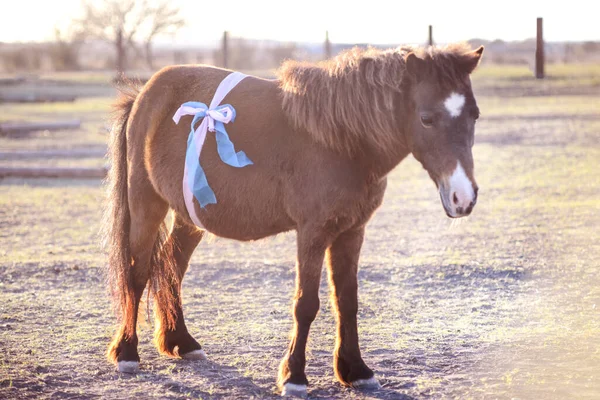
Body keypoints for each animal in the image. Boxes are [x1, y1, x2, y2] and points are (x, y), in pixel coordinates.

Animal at [105, 42, 486, 396]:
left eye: (475, 115)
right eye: (426, 118)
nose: (463, 198)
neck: (342, 140)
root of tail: (143, 95)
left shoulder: (351, 231)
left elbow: (347, 300)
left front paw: (355, 370)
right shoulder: (313, 232)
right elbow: (306, 304)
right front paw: (295, 376)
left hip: (189, 216)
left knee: (170, 266)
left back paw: (180, 341)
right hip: (146, 203)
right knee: (138, 272)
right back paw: (127, 353)